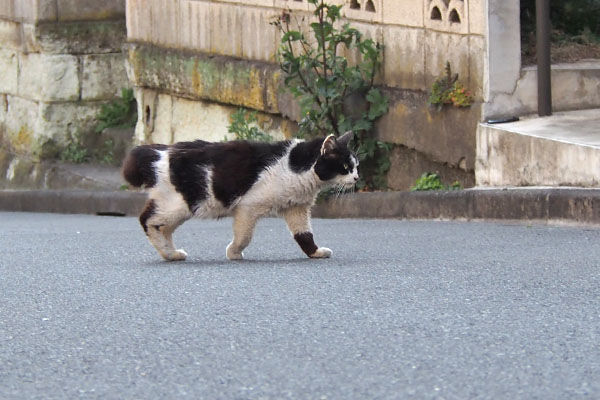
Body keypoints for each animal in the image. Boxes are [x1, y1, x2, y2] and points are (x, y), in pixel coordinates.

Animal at [121, 131, 356, 260]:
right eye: (345, 167)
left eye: (356, 166)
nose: (356, 178)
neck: (296, 167)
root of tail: (159, 151)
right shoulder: (248, 207)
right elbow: (244, 236)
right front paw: (233, 252)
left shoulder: (295, 208)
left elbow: (305, 235)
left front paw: (315, 253)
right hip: (181, 205)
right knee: (147, 220)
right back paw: (168, 252)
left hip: (177, 209)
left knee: (162, 227)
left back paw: (171, 254)